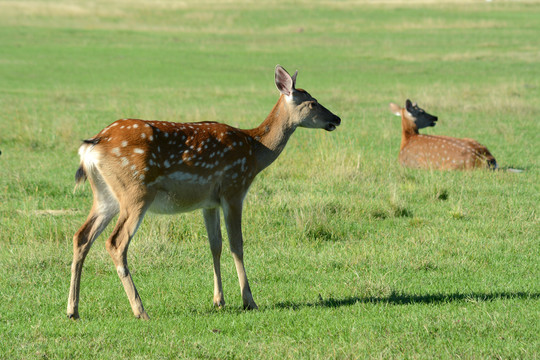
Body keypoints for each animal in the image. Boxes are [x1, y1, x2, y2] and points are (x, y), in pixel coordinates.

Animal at [65, 64, 340, 318]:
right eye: (313, 103)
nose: (336, 118)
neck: (255, 151)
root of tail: (92, 145)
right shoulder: (234, 188)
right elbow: (236, 244)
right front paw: (249, 301)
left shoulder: (209, 202)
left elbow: (215, 245)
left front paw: (219, 300)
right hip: (136, 192)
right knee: (115, 242)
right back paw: (140, 310)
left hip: (106, 196)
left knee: (81, 236)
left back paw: (72, 310)